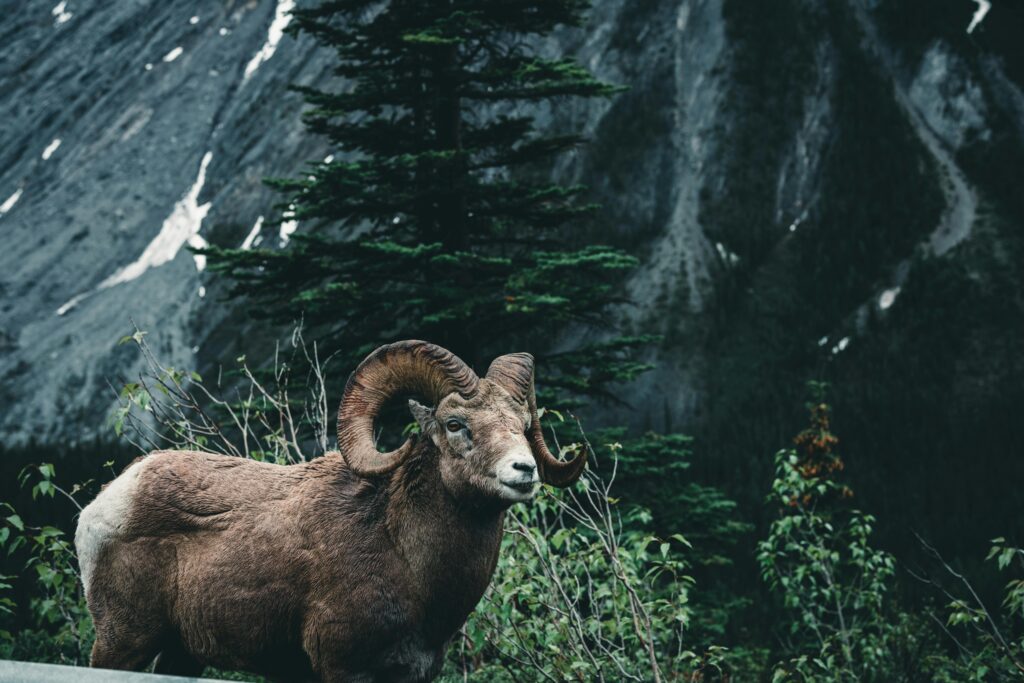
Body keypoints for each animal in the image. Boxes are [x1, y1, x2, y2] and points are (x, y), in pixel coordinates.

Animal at [74, 342, 585, 683]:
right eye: (456, 424)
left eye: (523, 425)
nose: (523, 470)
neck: (404, 558)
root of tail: (107, 502)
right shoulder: (343, 666)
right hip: (123, 640)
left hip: (181, 654)